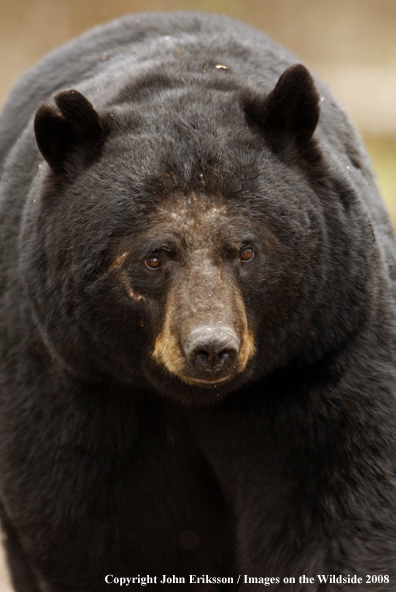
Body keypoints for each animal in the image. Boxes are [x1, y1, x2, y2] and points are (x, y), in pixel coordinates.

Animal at [0, 9, 396, 592]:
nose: (211, 349)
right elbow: (86, 528)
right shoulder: (73, 376)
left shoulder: (326, 350)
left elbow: (339, 503)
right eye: (155, 256)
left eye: (247, 249)